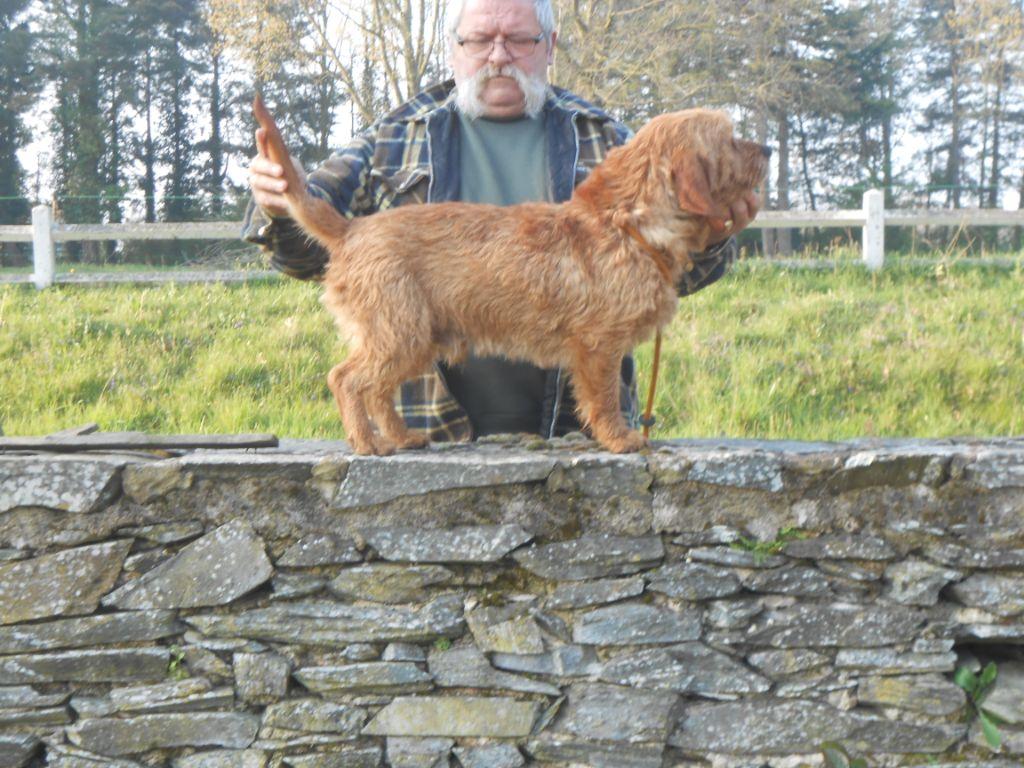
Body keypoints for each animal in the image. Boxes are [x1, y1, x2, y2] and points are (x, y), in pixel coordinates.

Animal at [253, 96, 770, 456]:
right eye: (730, 138)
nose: (766, 147)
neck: (627, 223)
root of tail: (352, 228)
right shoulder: (598, 347)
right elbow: (603, 400)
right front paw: (621, 439)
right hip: (397, 333)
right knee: (346, 379)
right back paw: (367, 442)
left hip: (414, 340)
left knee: (379, 392)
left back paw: (402, 437)